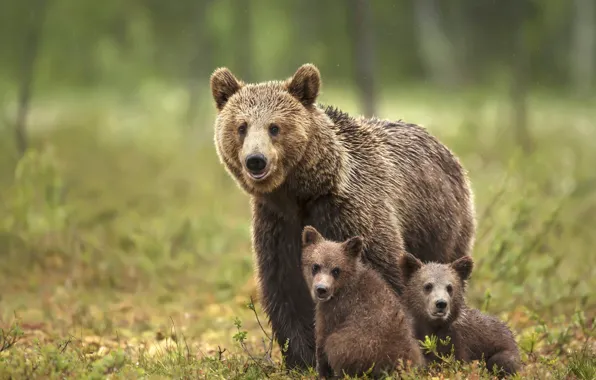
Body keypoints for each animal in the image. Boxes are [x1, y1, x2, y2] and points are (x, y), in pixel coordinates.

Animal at [210, 63, 474, 370]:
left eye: (274, 127)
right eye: (241, 127)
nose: (255, 160)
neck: (301, 193)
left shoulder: (351, 213)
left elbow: (386, 277)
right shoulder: (277, 225)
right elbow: (286, 289)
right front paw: (302, 358)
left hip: (441, 225)